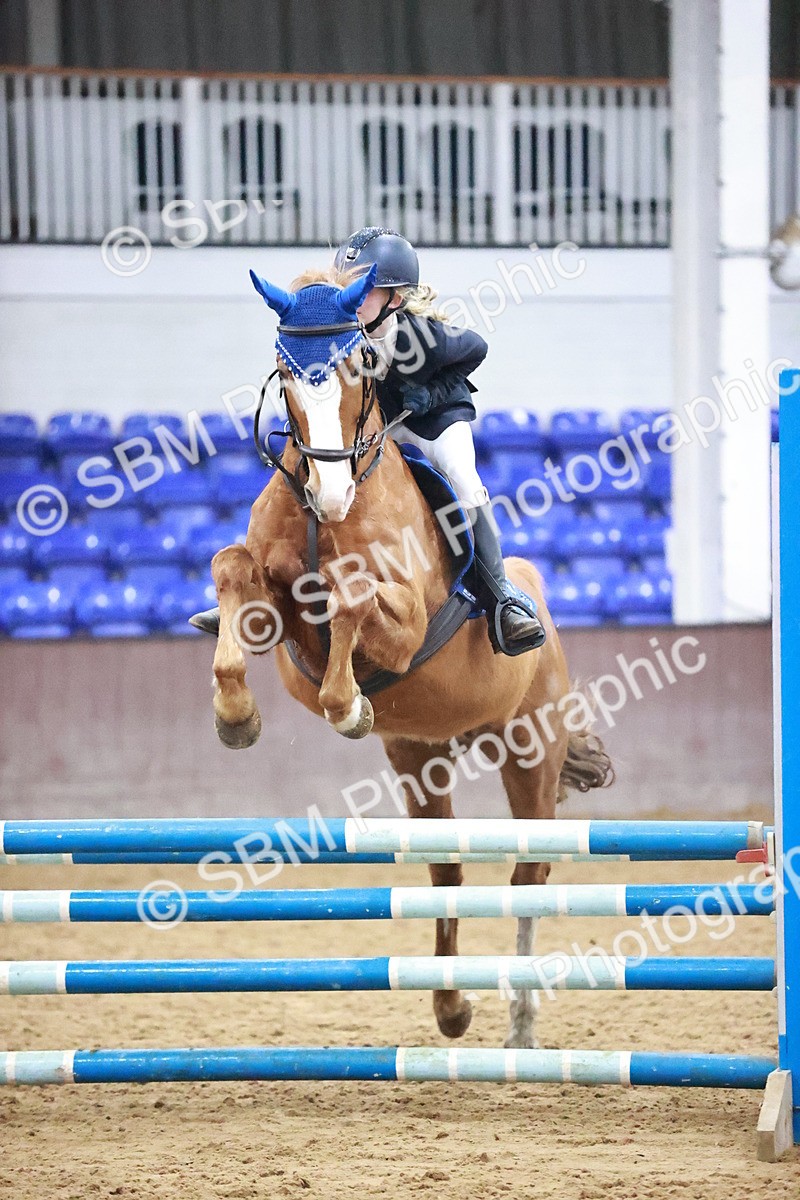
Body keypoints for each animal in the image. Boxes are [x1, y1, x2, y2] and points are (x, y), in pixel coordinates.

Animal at [209, 263, 613, 1048]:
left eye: (361, 368)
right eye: (285, 371)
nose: (331, 493)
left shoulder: (400, 623)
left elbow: (352, 599)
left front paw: (349, 707)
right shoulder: (276, 607)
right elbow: (234, 571)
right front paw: (235, 716)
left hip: (531, 751)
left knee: (530, 872)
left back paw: (521, 1022)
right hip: (420, 757)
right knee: (447, 871)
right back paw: (451, 1008)